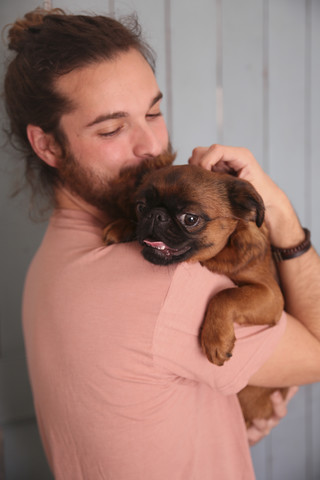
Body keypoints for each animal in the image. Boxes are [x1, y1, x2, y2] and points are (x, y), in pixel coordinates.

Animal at [102, 155, 288, 428]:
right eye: (141, 207)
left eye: (190, 219)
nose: (156, 215)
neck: (217, 257)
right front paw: (121, 225)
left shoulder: (271, 295)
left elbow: (225, 294)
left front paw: (216, 338)